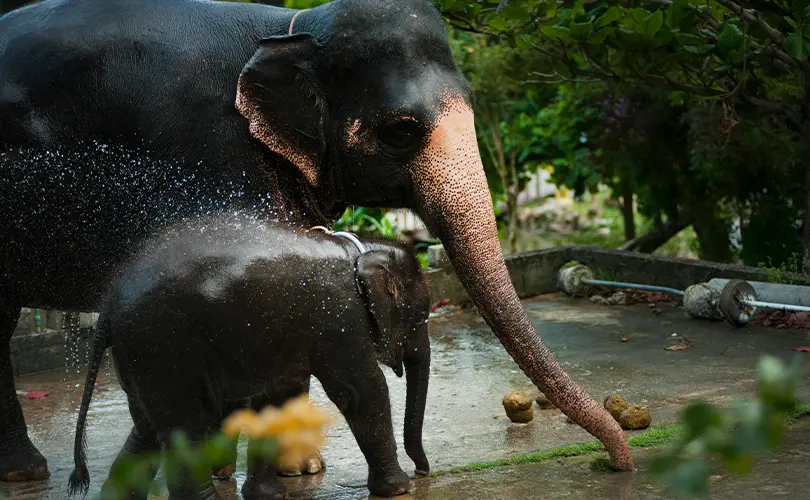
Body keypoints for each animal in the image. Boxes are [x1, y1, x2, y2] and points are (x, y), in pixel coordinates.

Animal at [68, 213, 431, 499]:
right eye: (421, 317)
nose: (423, 472)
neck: (357, 251)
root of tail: (108, 307)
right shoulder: (340, 320)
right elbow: (361, 392)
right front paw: (398, 489)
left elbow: (275, 398)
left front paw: (267, 495)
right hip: (165, 350)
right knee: (186, 428)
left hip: (143, 358)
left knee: (146, 428)